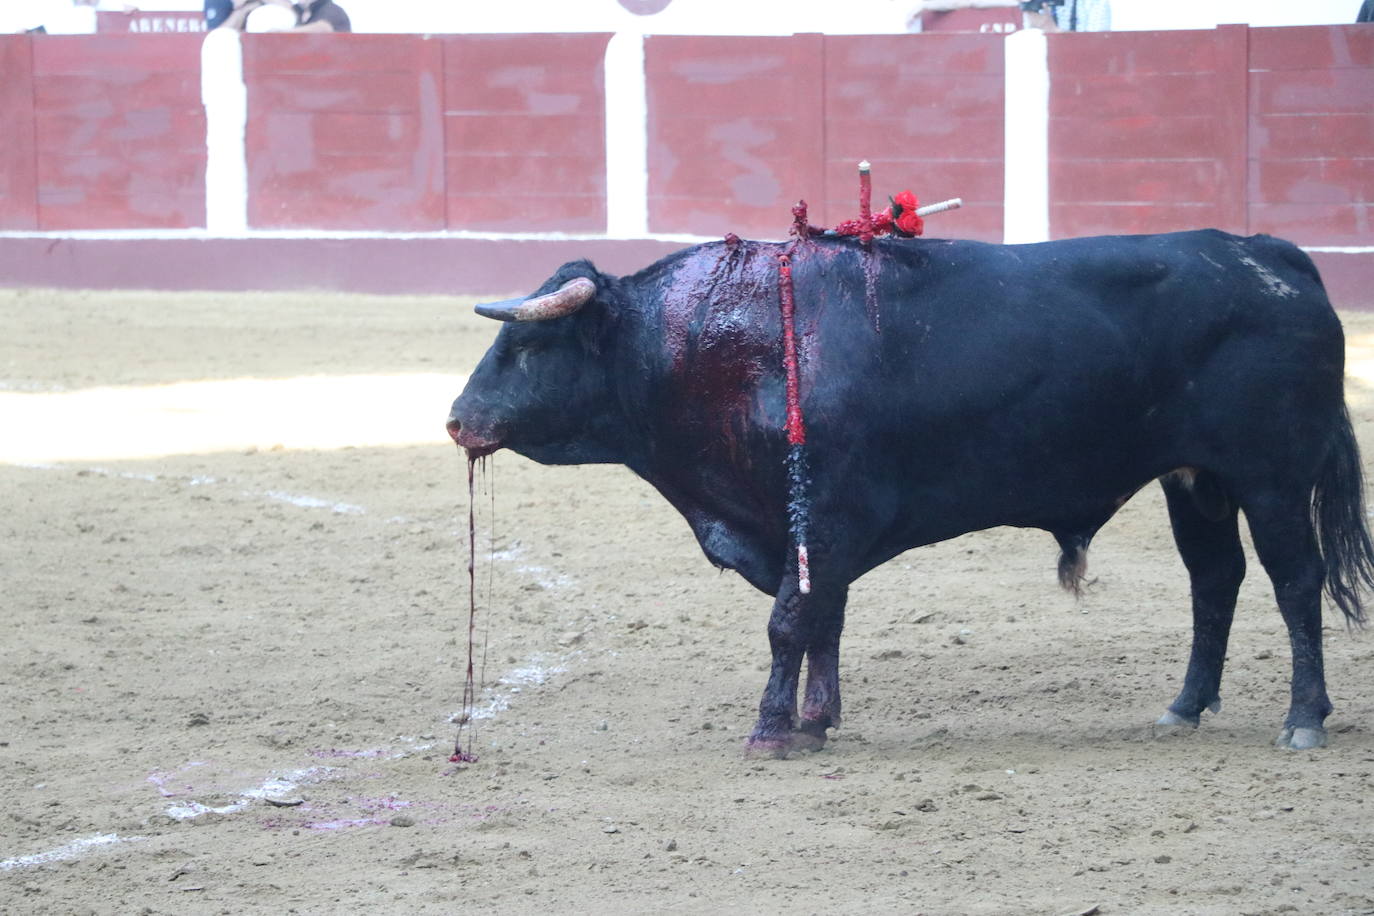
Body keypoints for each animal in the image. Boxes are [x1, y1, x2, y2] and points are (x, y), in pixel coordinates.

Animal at [445, 227, 1368, 752]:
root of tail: (1272, 254)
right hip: (1196, 480)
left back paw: (1304, 720)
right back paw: (1184, 707)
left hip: (1272, 476)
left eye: (527, 350)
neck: (718, 342)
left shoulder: (827, 516)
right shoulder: (815, 536)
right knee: (1215, 580)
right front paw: (817, 722)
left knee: (1296, 583)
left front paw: (772, 730)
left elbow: (791, 623)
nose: (457, 421)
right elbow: (823, 620)